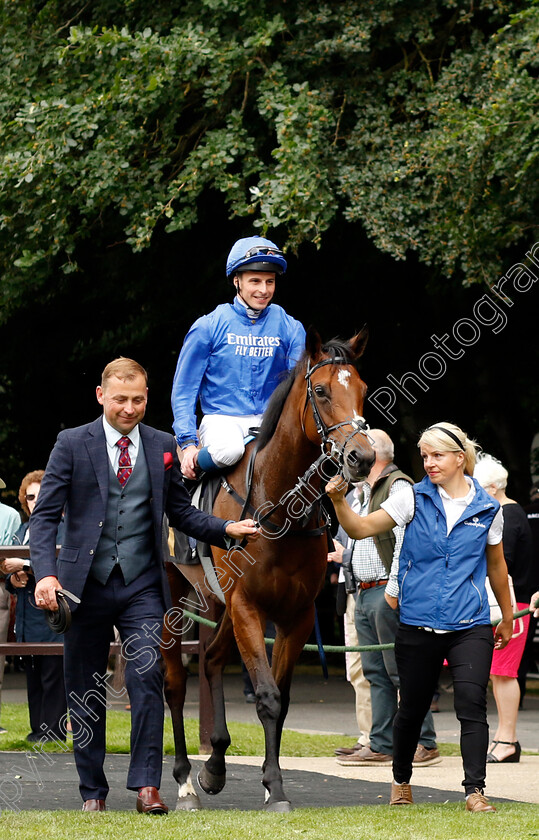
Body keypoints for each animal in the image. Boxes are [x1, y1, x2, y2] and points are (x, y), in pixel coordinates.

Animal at [165, 324, 376, 812]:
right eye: (321, 391)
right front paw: (275, 788)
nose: (362, 457)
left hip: (216, 603)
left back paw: (214, 766)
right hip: (174, 595)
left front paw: (268, 781)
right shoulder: (248, 605)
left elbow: (282, 698)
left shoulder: (295, 614)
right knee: (175, 683)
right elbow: (265, 696)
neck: (279, 506)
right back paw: (185, 782)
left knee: (211, 661)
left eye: (361, 389)